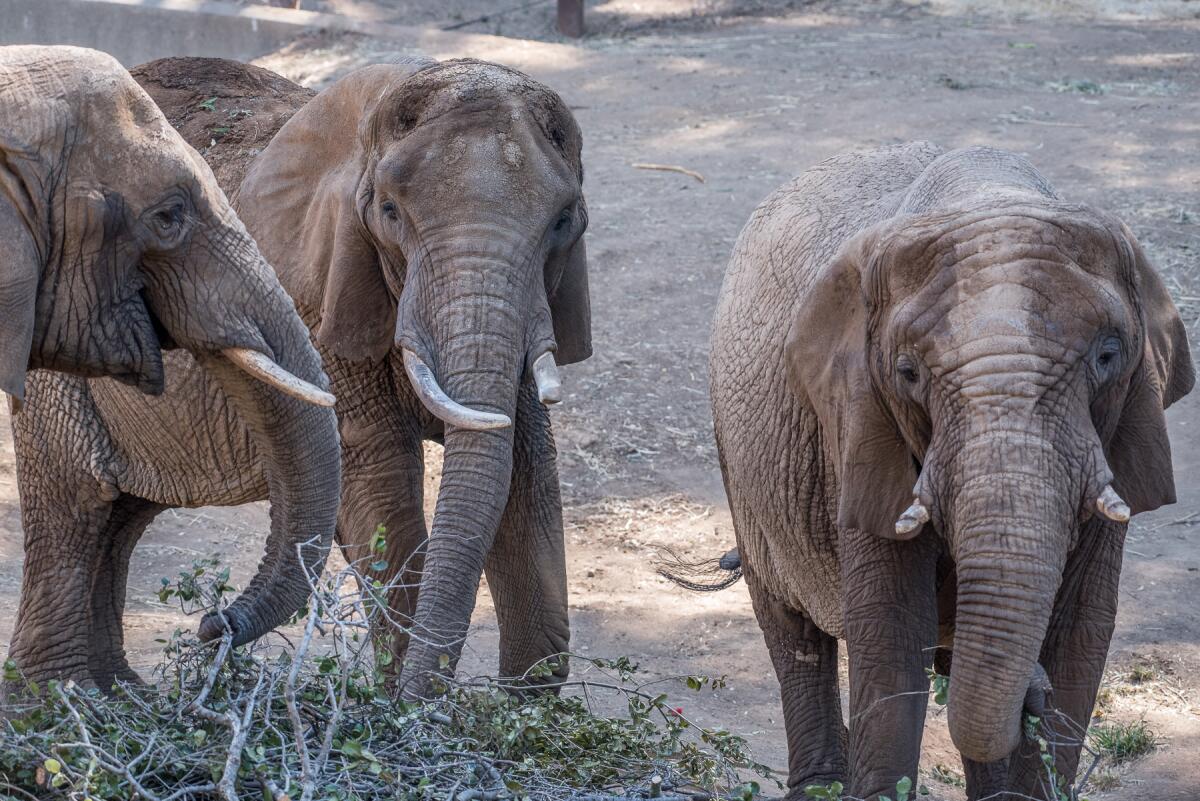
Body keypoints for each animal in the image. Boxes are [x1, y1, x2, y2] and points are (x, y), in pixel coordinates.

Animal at [52, 56, 590, 695]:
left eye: (563, 221)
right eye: (389, 212)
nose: (209, 627)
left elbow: (529, 476)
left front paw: (518, 716)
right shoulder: (317, 301)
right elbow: (379, 477)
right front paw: (401, 707)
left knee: (121, 516)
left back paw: (117, 696)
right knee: (90, 501)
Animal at [700, 143, 1190, 801]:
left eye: (1108, 356)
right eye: (908, 372)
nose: (1031, 699)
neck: (988, 196)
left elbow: (1077, 632)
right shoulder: (858, 427)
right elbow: (892, 630)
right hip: (739, 458)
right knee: (792, 631)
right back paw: (821, 785)